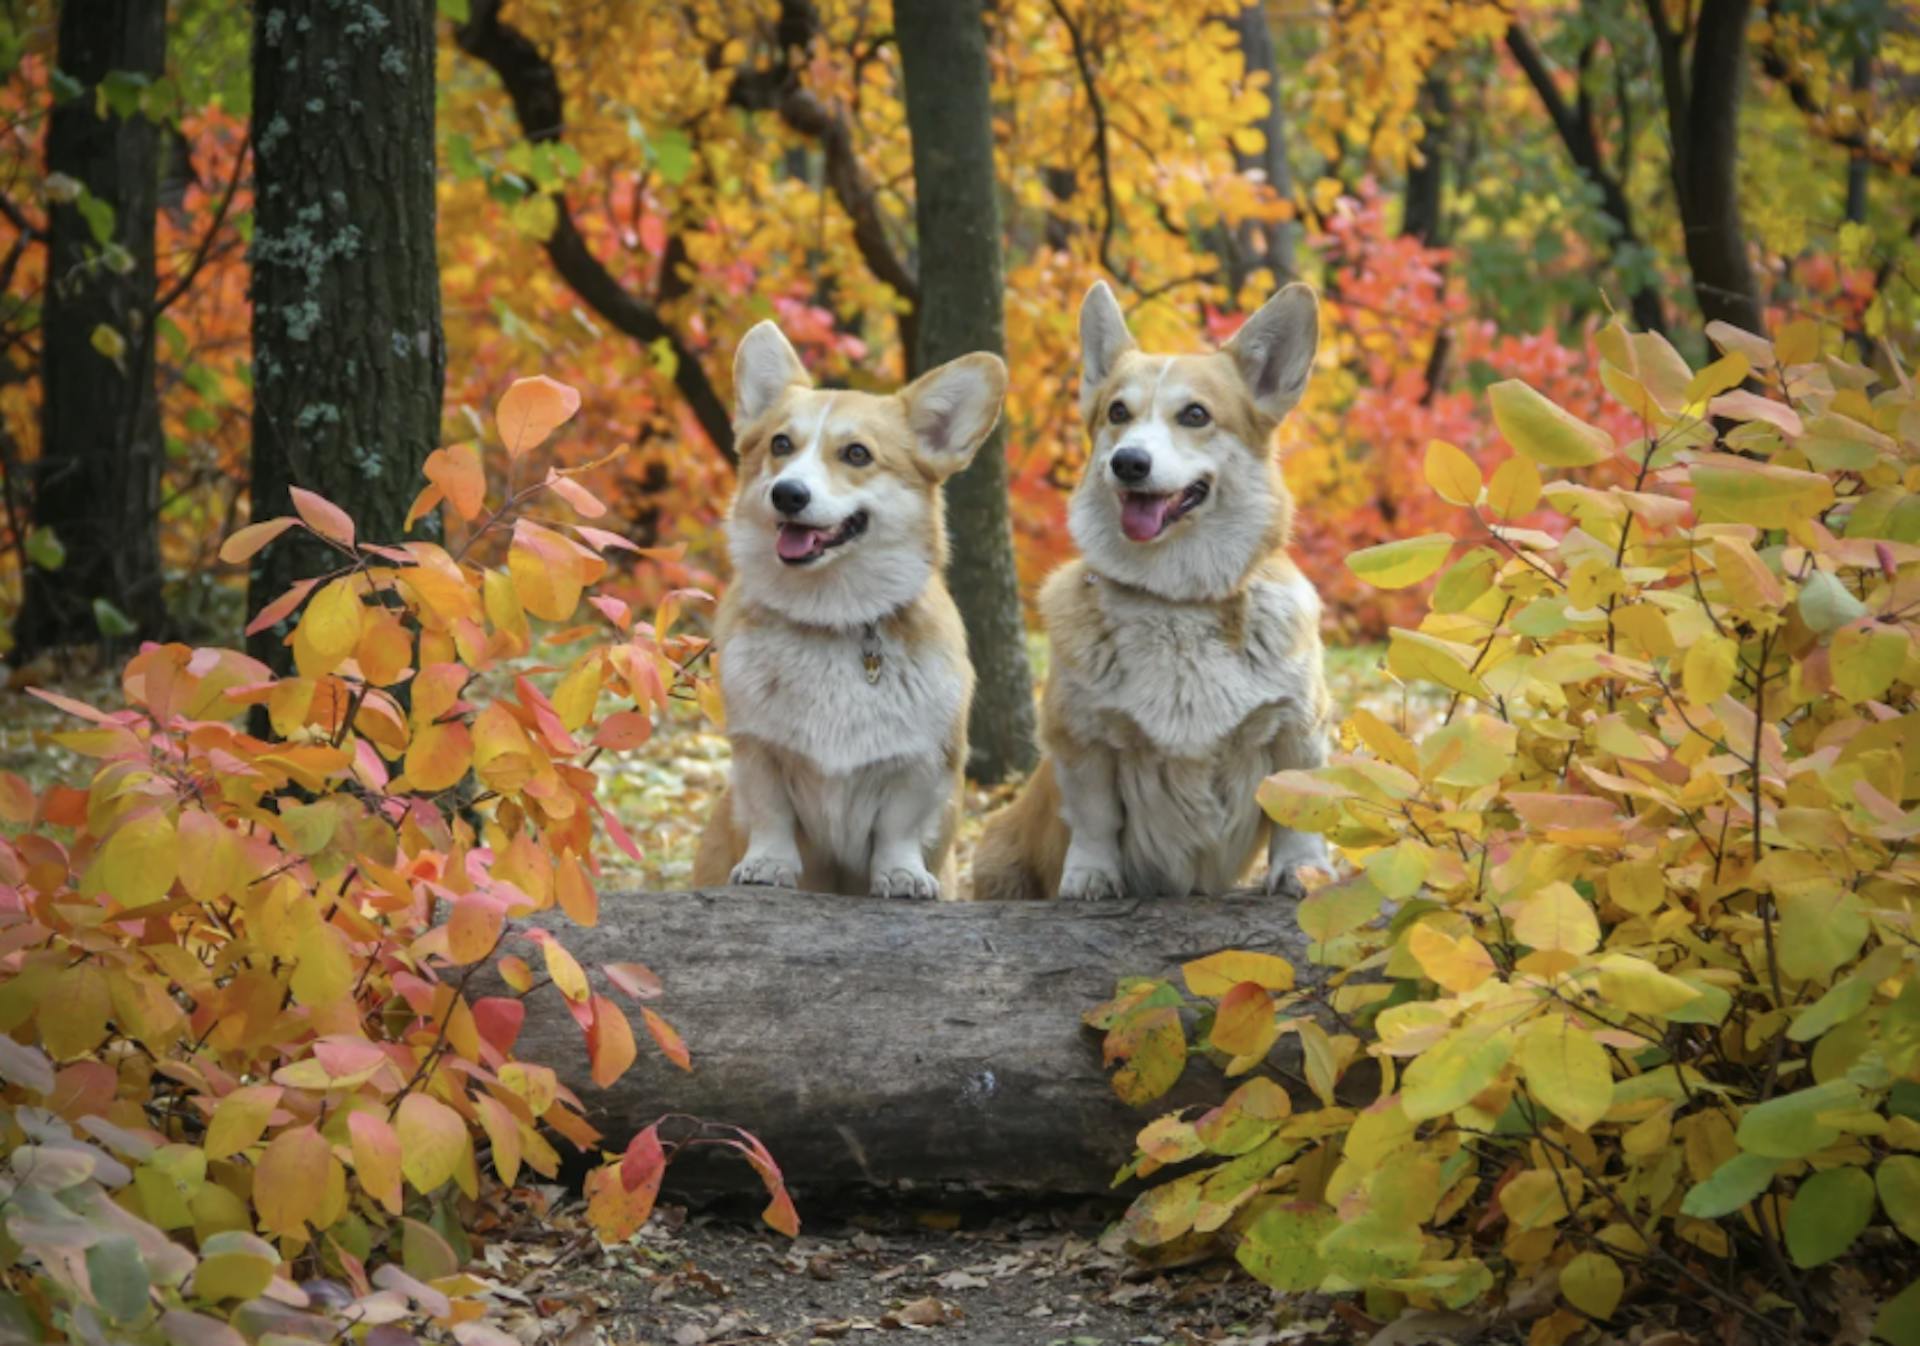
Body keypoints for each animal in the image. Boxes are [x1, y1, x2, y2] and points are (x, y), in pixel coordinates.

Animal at [698, 318, 1013, 898]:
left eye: (858, 454)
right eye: (780, 444)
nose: (787, 494)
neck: (834, 618)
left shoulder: (921, 764)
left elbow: (898, 827)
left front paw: (902, 875)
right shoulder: (758, 751)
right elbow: (771, 815)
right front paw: (767, 866)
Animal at [975, 278, 1336, 898]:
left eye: (1195, 414)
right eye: (1118, 412)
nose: (1128, 462)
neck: (1176, 601)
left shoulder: (1297, 724)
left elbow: (1297, 808)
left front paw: (1303, 871)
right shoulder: (1082, 738)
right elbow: (1095, 817)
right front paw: (1090, 879)